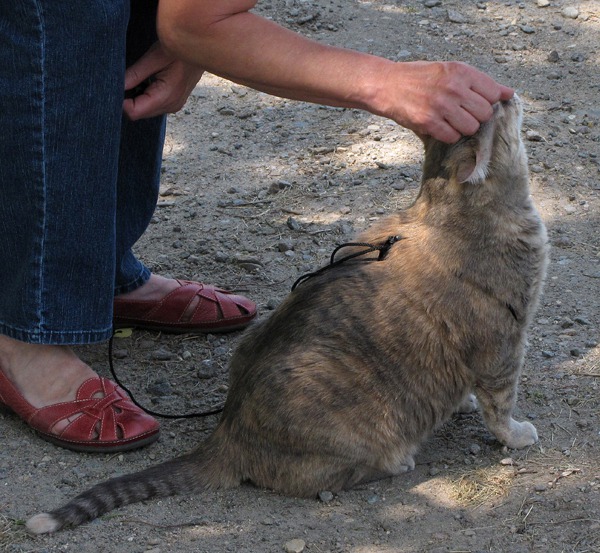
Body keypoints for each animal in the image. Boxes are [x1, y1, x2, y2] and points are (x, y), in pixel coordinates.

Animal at [25, 95, 548, 536]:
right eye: (500, 108)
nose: (509, 93)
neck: (449, 211)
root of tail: (227, 431)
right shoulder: (505, 345)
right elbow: (501, 408)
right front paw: (517, 434)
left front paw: (464, 403)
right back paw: (397, 461)